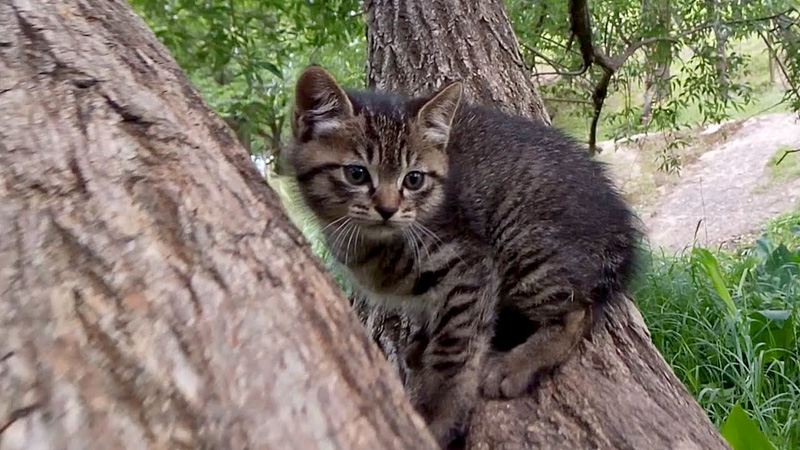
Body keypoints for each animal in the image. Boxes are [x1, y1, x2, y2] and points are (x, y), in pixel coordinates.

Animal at [288, 65, 636, 448]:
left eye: (413, 179)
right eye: (356, 174)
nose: (388, 209)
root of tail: (622, 229)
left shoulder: (469, 263)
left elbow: (453, 348)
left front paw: (441, 416)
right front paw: (424, 338)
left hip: (522, 242)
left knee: (577, 312)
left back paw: (516, 364)